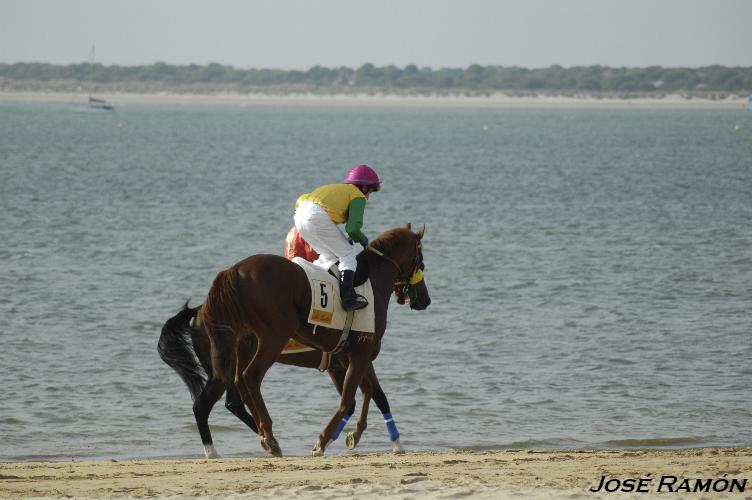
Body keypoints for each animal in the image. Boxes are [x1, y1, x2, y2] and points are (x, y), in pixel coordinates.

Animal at [157, 300, 406, 458]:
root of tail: (198, 312)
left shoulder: (339, 366)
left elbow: (360, 399)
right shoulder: (352, 361)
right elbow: (373, 395)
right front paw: (394, 443)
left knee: (233, 403)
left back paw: (268, 439)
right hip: (224, 367)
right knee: (206, 405)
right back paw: (215, 450)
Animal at [200, 225, 428, 456]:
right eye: (421, 261)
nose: (425, 300)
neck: (370, 281)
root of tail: (235, 269)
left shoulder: (348, 356)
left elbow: (368, 392)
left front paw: (355, 434)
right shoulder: (360, 353)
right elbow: (353, 398)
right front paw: (324, 440)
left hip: (245, 343)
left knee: (239, 384)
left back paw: (263, 434)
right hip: (273, 338)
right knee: (248, 379)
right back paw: (265, 437)